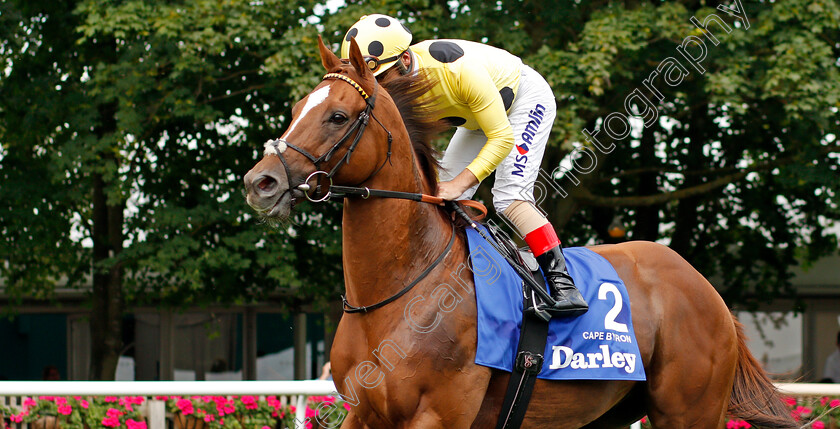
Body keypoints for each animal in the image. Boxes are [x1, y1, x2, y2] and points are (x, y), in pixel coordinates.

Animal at [243, 37, 796, 428]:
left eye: (338, 116)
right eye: (295, 111)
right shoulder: (364, 411)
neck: (400, 291)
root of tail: (706, 288)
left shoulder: (436, 416)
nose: (259, 182)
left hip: (689, 410)